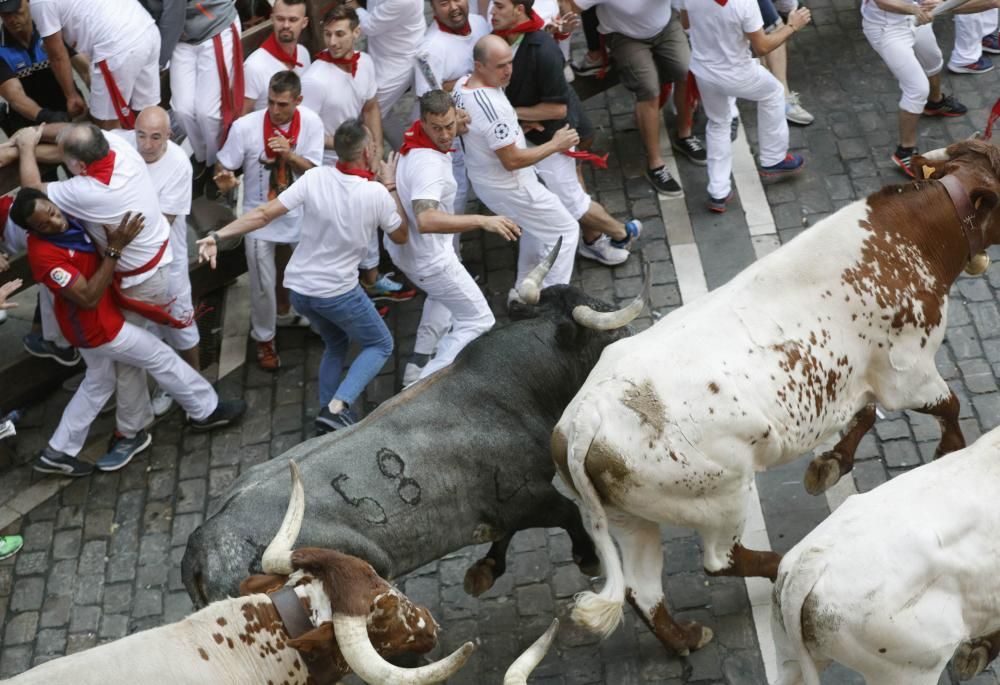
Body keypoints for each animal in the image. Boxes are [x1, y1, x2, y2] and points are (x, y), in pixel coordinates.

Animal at [183, 280, 636, 600]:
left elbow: (504, 535)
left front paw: (485, 571)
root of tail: (203, 546)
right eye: (601, 321)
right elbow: (569, 513)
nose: (632, 334)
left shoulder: (504, 507)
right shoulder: (525, 495)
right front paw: (588, 557)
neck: (505, 389)